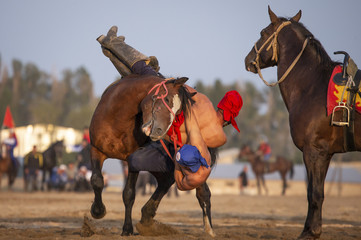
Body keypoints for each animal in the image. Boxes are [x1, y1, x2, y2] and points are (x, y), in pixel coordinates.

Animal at [88, 74, 215, 236]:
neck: (117, 118)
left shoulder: (132, 160)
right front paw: (98, 211)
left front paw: (127, 229)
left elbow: (129, 193)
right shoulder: (96, 150)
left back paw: (209, 229)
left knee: (201, 192)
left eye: (178, 110)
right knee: (166, 182)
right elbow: (97, 180)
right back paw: (147, 216)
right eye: (166, 99)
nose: (161, 131)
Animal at [243, 6, 358, 239]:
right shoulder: (325, 154)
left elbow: (313, 193)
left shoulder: (313, 152)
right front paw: (311, 228)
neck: (313, 86)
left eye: (262, 33)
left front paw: (311, 231)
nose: (248, 60)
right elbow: (316, 191)